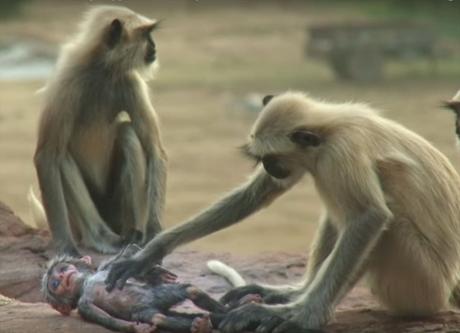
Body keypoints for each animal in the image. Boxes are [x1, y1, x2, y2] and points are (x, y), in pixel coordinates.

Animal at [34, 4, 167, 254]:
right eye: (146, 35)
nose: (154, 46)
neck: (102, 70)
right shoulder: (65, 82)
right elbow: (46, 156)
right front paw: (65, 247)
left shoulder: (131, 82)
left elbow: (155, 151)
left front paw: (154, 232)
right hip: (80, 221)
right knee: (61, 157)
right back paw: (101, 237)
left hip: (117, 211)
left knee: (127, 133)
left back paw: (133, 234)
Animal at [105, 91, 460, 332]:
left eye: (271, 159)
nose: (269, 168)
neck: (329, 127)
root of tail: (448, 288)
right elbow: (257, 194)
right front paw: (149, 252)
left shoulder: (338, 153)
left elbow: (369, 217)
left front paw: (304, 316)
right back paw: (292, 293)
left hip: (422, 286)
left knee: (384, 222)